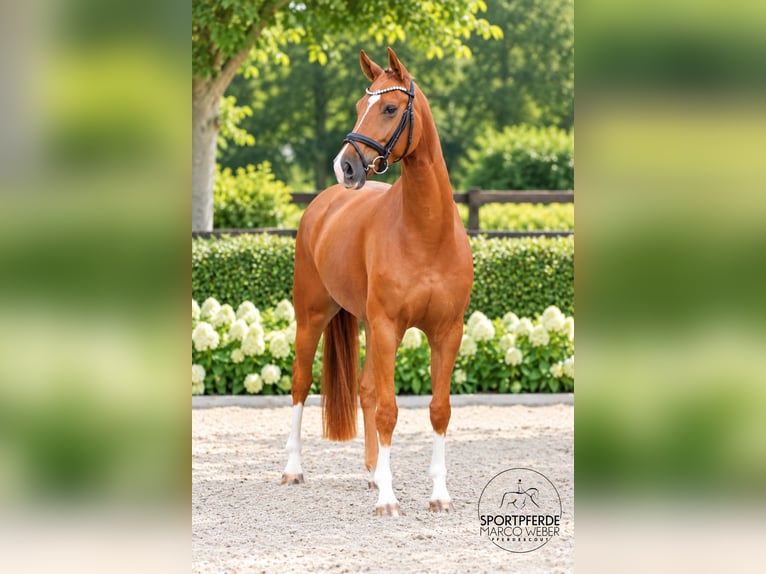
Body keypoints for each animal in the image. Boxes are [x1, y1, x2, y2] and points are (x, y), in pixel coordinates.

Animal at [281, 48, 473, 516]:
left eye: (389, 108)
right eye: (357, 107)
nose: (345, 166)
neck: (425, 233)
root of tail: (323, 204)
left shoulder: (447, 332)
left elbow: (438, 410)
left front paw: (439, 495)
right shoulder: (388, 327)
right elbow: (388, 409)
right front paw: (389, 499)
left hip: (365, 323)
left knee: (365, 389)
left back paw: (372, 472)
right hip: (312, 317)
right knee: (300, 384)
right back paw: (294, 470)